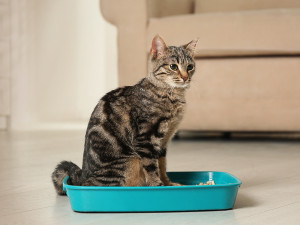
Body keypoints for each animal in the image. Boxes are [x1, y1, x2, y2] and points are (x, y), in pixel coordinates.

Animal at [51, 35, 197, 195]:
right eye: (173, 67)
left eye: (190, 67)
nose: (185, 77)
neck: (170, 94)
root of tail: (83, 175)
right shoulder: (146, 139)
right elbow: (152, 167)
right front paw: (158, 186)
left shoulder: (164, 141)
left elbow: (162, 165)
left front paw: (168, 184)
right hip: (129, 161)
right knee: (95, 185)